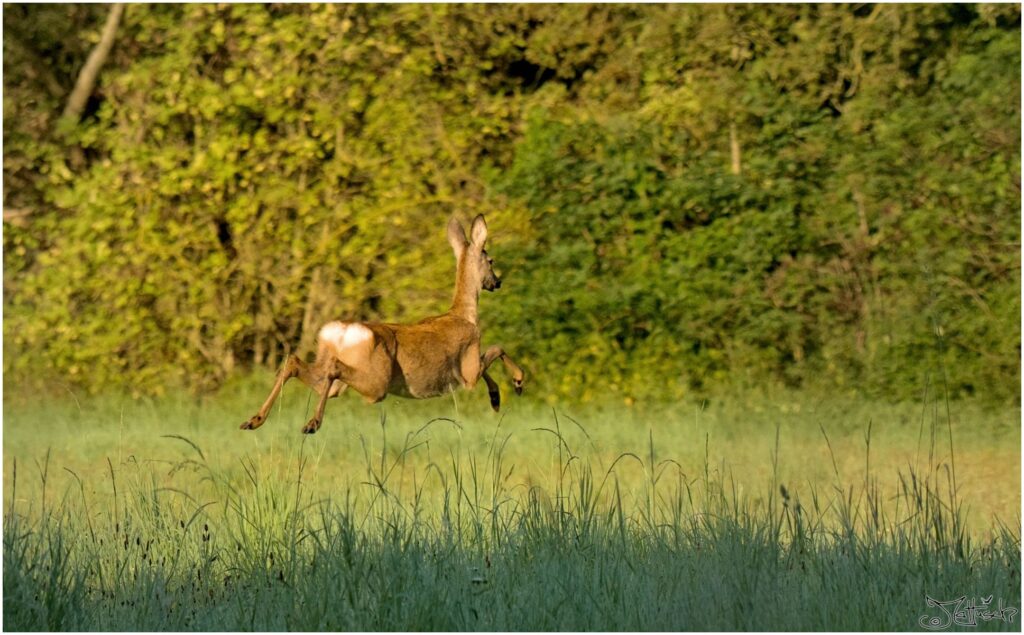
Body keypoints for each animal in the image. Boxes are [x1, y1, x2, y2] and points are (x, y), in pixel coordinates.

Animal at [242, 216, 524, 434]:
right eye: (491, 261)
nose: (497, 282)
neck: (464, 315)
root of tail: (343, 331)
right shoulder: (468, 369)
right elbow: (496, 349)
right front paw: (514, 384)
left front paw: (496, 398)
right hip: (377, 382)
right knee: (334, 370)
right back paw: (311, 424)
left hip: (336, 374)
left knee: (295, 364)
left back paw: (254, 420)